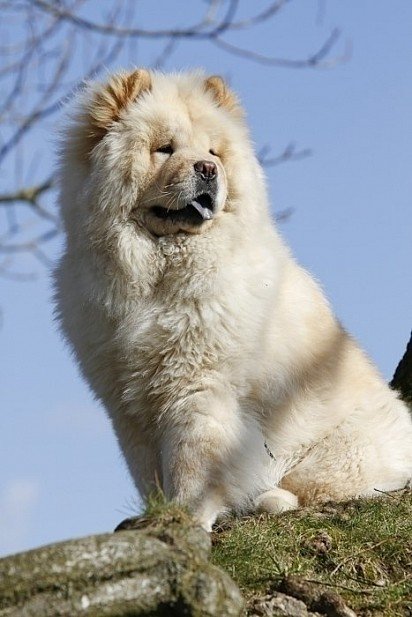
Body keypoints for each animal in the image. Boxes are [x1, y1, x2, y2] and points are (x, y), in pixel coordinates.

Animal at [55, 67, 412, 528]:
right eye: (164, 149)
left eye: (213, 152)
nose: (208, 169)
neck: (159, 273)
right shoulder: (127, 402)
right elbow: (148, 470)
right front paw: (155, 516)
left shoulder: (200, 388)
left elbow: (191, 465)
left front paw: (188, 518)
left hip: (335, 452)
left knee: (318, 488)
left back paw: (269, 498)